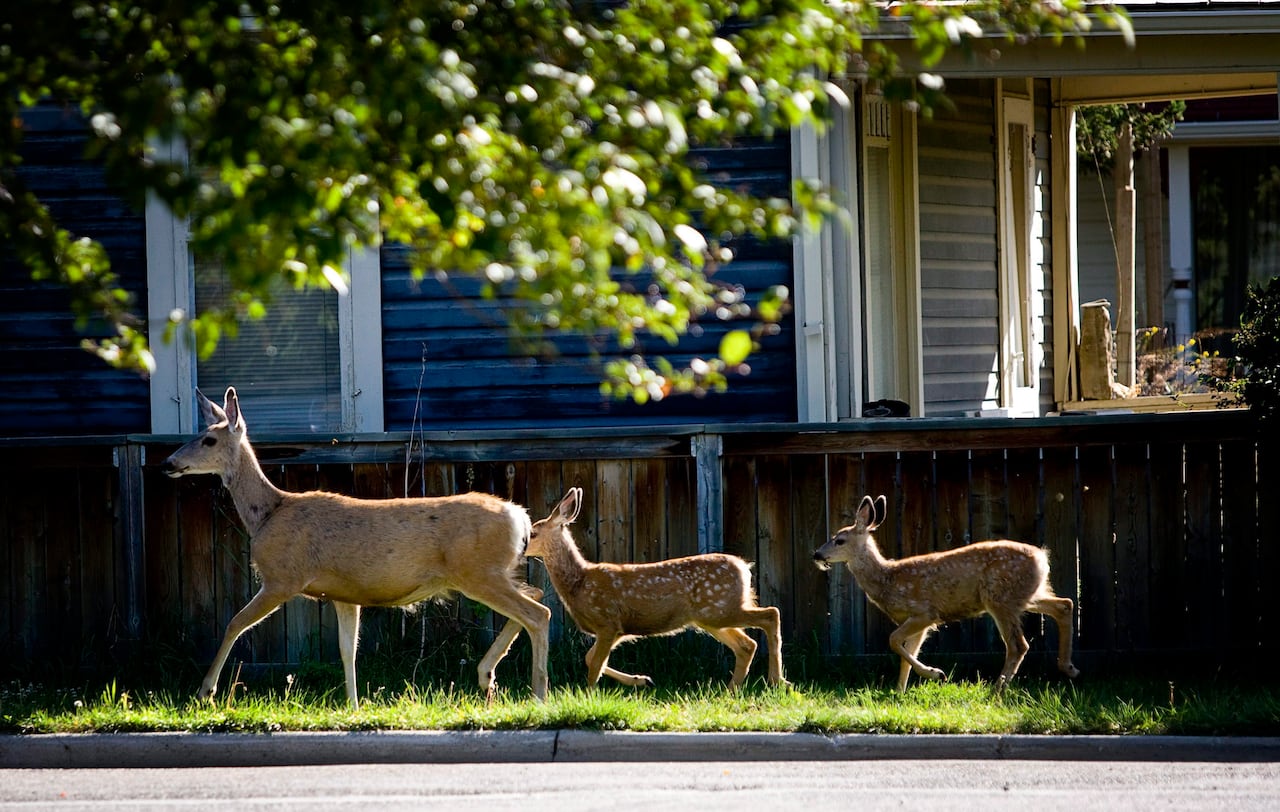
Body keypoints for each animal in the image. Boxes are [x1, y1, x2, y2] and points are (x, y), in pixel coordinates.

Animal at [159, 387, 551, 708]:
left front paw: (205, 691)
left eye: (209, 440)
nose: (168, 463)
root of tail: (520, 517)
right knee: (536, 594)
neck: (269, 512)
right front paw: (353, 705)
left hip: (478, 572)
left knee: (538, 613)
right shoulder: (344, 594)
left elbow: (233, 623)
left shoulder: (282, 578)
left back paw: (538, 693)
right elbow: (348, 650)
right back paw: (488, 675)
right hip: (492, 571)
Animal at [526, 487, 786, 690]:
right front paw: (642, 680)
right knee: (747, 645)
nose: (521, 545)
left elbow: (595, 666)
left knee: (771, 615)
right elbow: (591, 659)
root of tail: (744, 568)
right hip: (711, 617)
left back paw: (776, 680)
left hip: (719, 609)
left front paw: (589, 697)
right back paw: (732, 689)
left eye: (533, 533)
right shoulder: (618, 629)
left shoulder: (608, 622)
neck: (579, 583)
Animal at [813, 494, 1079, 692]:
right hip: (1025, 595)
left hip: (1000, 598)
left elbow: (894, 641)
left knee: (1018, 644)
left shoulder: (925, 612)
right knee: (1064, 604)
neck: (887, 579)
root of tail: (1042, 558)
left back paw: (997, 689)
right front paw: (899, 692)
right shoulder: (917, 620)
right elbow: (906, 652)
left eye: (839, 540)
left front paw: (935, 674)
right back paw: (1069, 668)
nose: (816, 554)